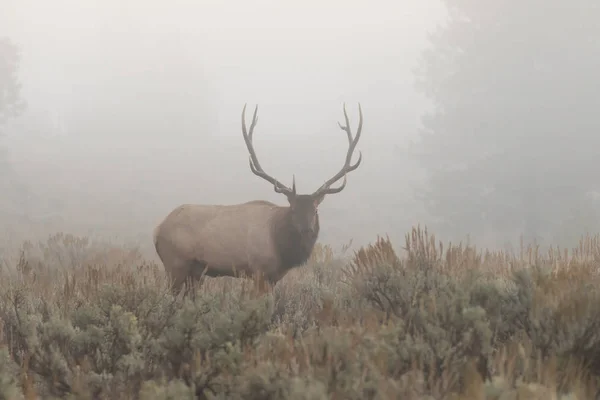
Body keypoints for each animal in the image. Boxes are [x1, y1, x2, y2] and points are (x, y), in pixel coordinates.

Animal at [152, 103, 364, 294]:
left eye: (315, 209)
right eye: (293, 209)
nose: (306, 229)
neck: (281, 248)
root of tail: (157, 230)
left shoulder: (274, 277)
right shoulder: (259, 270)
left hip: (195, 271)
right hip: (175, 264)